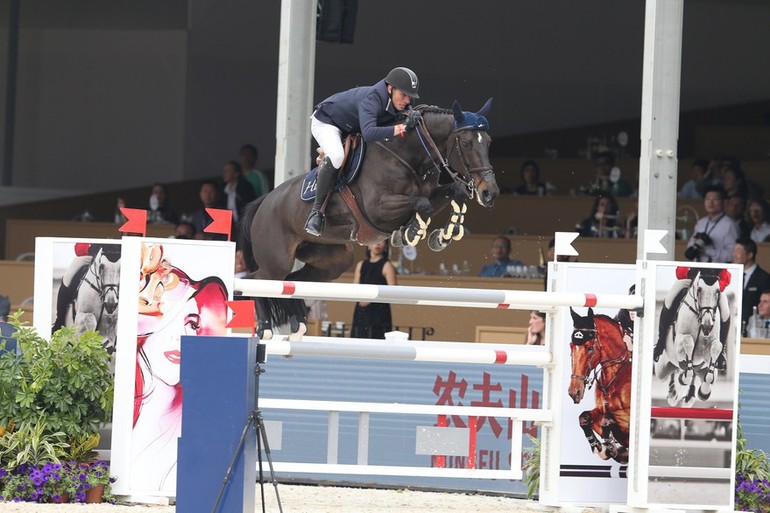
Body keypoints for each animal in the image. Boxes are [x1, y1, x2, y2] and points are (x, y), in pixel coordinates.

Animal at [240, 100, 500, 340]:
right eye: (465, 143)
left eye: (488, 142)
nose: (490, 193)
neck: (406, 156)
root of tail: (264, 201)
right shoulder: (378, 209)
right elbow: (421, 204)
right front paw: (411, 232)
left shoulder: (432, 192)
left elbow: (453, 192)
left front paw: (441, 236)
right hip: (276, 260)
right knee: (256, 280)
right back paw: (264, 329)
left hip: (332, 260)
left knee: (293, 281)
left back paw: (298, 327)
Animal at [568, 308, 628, 464]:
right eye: (571, 346)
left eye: (589, 348)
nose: (574, 392)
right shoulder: (601, 409)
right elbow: (584, 418)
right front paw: (601, 448)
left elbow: (606, 422)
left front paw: (612, 448)